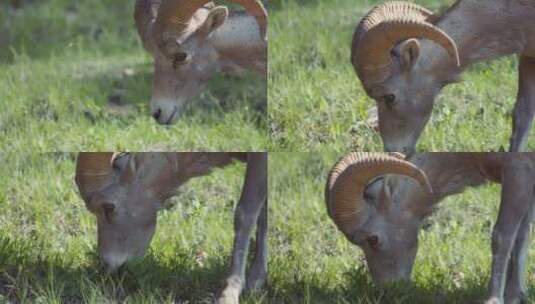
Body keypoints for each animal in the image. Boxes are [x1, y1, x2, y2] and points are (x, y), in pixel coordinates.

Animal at [324, 153, 535, 302]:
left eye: (373, 239)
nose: (388, 291)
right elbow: (523, 234)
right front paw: (517, 295)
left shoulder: (518, 173)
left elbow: (503, 237)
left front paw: (495, 299)